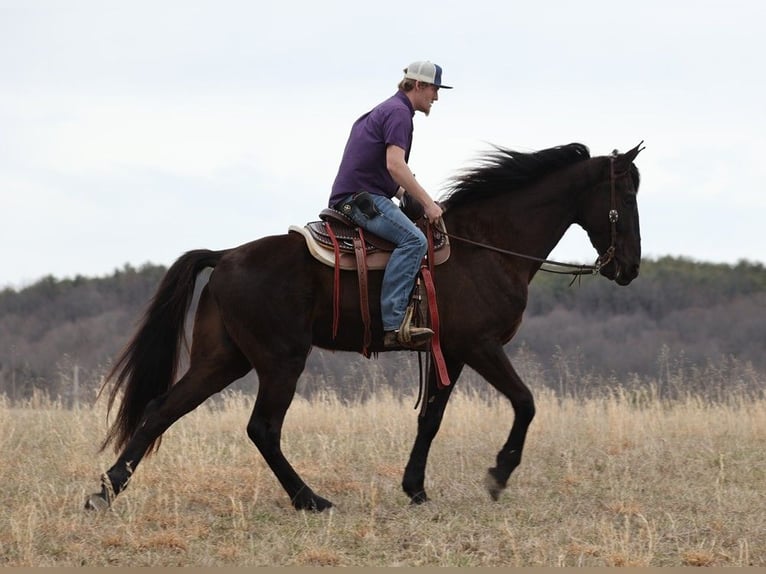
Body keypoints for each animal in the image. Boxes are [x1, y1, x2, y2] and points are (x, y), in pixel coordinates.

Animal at [87, 142, 644, 510]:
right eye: (626, 197)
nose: (630, 267)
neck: (488, 246)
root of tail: (225, 256)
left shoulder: (451, 352)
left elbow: (431, 419)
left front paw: (415, 488)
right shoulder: (481, 346)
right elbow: (526, 402)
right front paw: (498, 475)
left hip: (223, 359)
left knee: (161, 410)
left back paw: (106, 490)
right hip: (280, 360)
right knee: (262, 428)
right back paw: (310, 499)